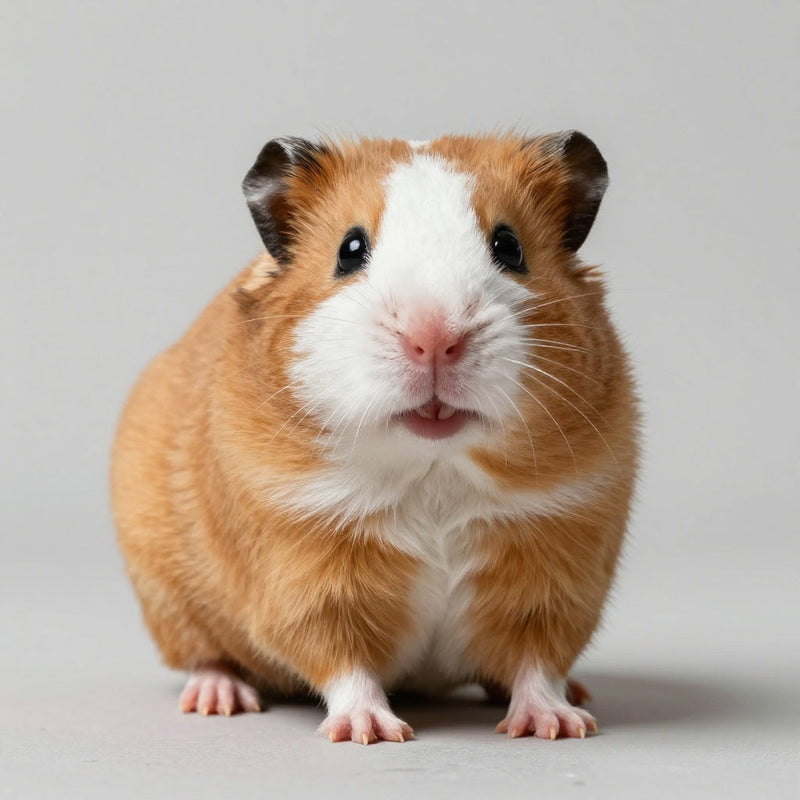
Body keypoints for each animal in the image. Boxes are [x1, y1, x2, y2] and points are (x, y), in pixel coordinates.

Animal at [111, 132, 639, 744]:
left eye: (509, 246)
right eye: (350, 249)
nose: (434, 338)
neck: (435, 469)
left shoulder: (559, 570)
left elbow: (539, 661)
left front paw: (555, 727)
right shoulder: (305, 575)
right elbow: (343, 661)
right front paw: (372, 733)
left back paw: (574, 698)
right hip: (170, 600)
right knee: (208, 655)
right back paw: (218, 700)